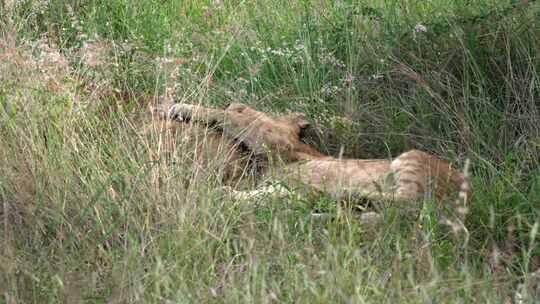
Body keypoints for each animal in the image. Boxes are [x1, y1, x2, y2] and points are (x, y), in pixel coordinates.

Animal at [166, 102, 472, 207]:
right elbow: (267, 193)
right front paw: (226, 194)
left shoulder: (271, 139)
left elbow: (228, 114)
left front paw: (180, 107)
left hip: (412, 157)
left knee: (408, 199)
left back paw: (341, 195)